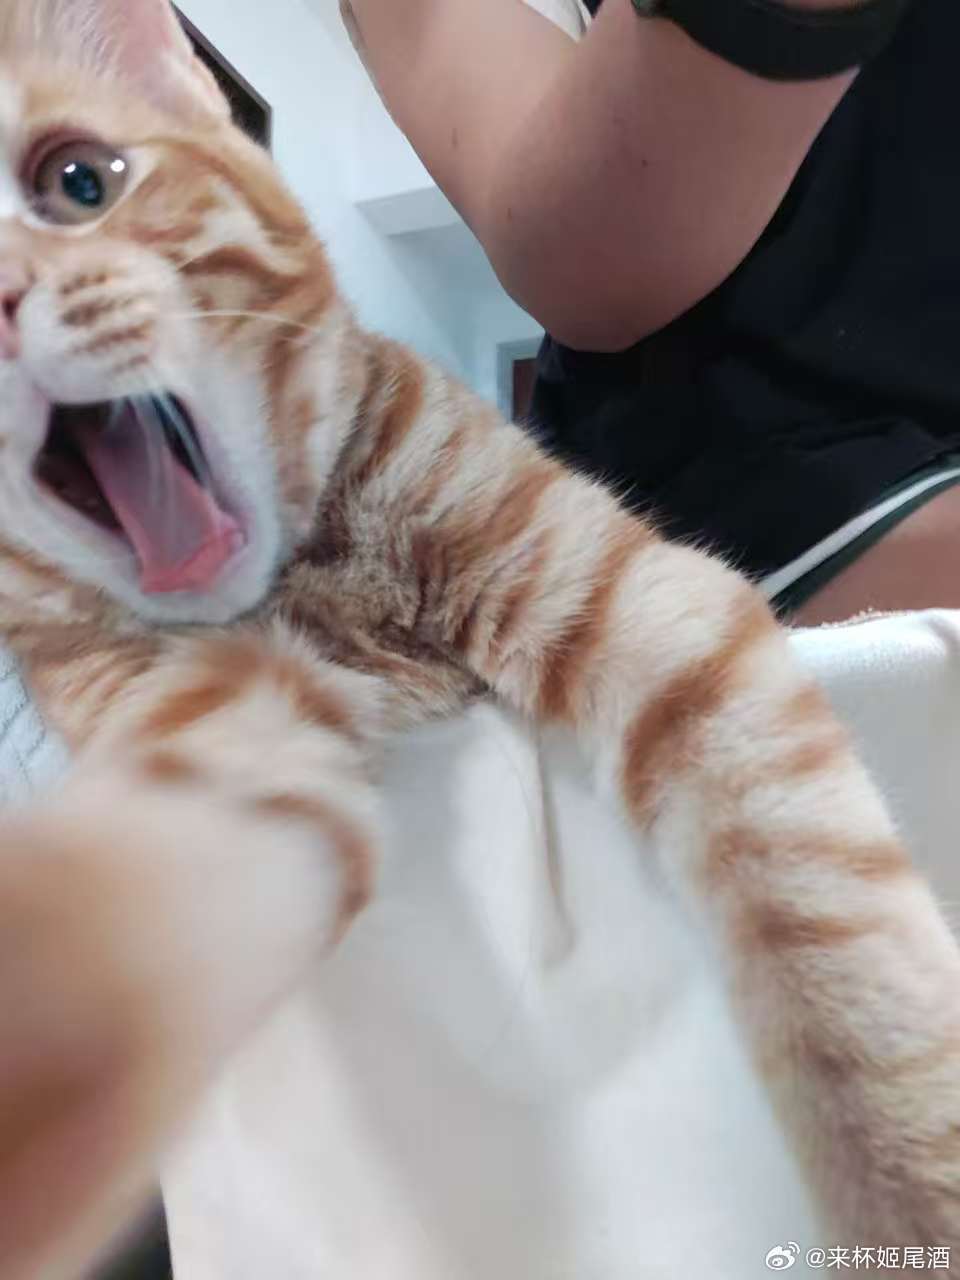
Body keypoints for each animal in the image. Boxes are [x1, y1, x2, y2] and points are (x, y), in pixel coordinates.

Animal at [0, 2, 956, 1278]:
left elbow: (847, 956)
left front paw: (917, 1192)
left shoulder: (638, 602)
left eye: (79, 181)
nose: (4, 309)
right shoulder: (222, 734)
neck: (313, 576)